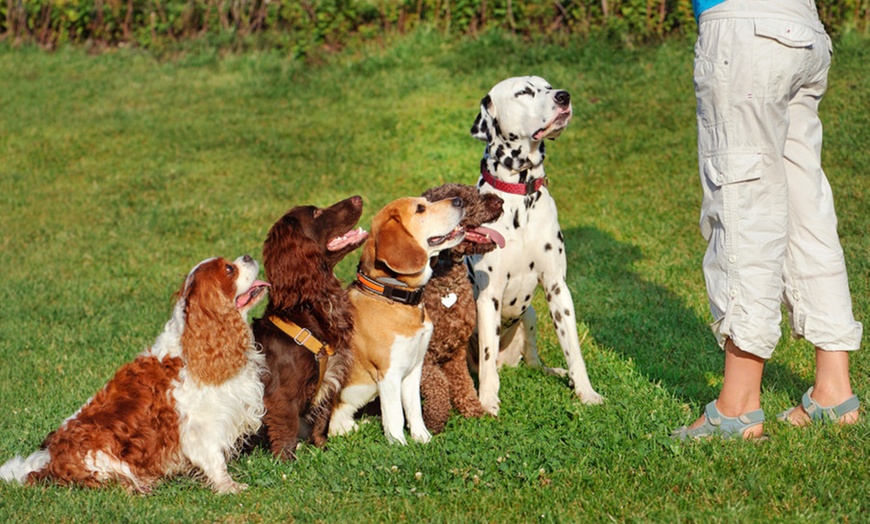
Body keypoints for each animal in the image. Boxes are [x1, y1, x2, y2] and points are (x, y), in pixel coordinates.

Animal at [470, 74, 608, 418]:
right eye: (523, 92)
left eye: (547, 85)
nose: (563, 96)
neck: (520, 197)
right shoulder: (488, 296)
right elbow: (487, 358)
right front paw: (487, 401)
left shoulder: (558, 288)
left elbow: (574, 349)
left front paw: (586, 392)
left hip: (530, 315)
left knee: (533, 360)